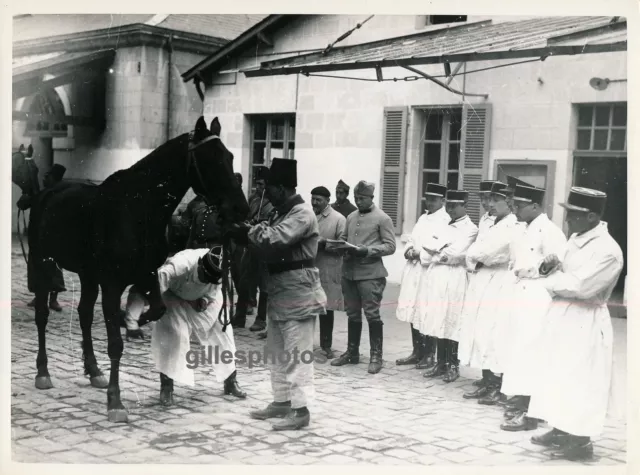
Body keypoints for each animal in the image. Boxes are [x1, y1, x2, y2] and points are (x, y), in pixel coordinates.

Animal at [23, 117, 248, 422]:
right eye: (209, 158)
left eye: (230, 156)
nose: (241, 209)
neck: (136, 210)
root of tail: (48, 192)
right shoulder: (113, 283)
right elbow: (115, 344)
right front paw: (115, 402)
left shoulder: (147, 275)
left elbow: (158, 309)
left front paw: (132, 322)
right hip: (43, 264)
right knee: (42, 315)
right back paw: (43, 372)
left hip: (87, 275)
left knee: (83, 315)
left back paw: (93, 370)